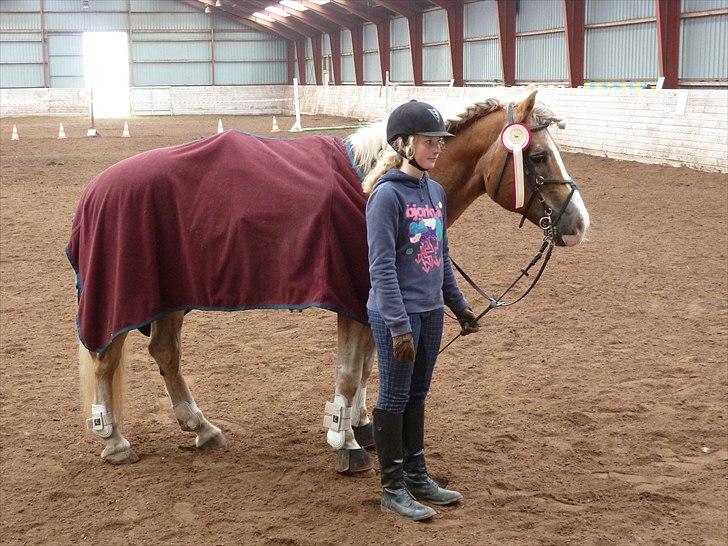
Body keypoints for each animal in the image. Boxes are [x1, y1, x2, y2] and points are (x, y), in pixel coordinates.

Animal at [69, 89, 592, 468]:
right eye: (538, 157)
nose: (578, 223)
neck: (376, 182)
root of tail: (97, 189)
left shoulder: (369, 306)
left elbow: (366, 368)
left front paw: (359, 425)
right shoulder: (354, 300)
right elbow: (349, 372)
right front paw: (345, 441)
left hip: (170, 299)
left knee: (164, 353)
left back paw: (202, 428)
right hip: (124, 298)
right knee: (105, 358)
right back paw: (114, 440)